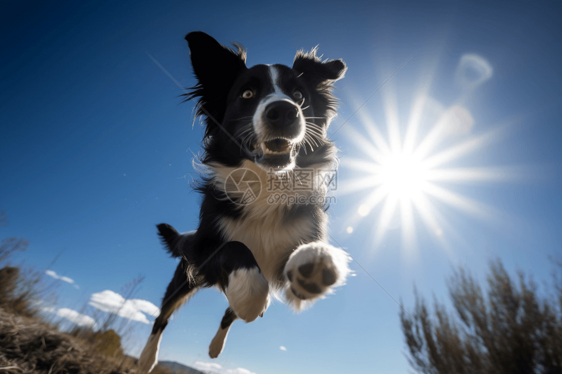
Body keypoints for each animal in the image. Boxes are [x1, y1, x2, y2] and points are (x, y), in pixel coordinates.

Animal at [138, 32, 348, 374]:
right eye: (247, 93)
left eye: (299, 96)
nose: (284, 111)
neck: (266, 183)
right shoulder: (204, 249)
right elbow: (237, 250)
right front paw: (250, 297)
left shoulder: (289, 252)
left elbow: (308, 252)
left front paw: (316, 264)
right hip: (184, 275)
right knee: (163, 314)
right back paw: (147, 358)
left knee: (227, 313)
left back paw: (215, 347)